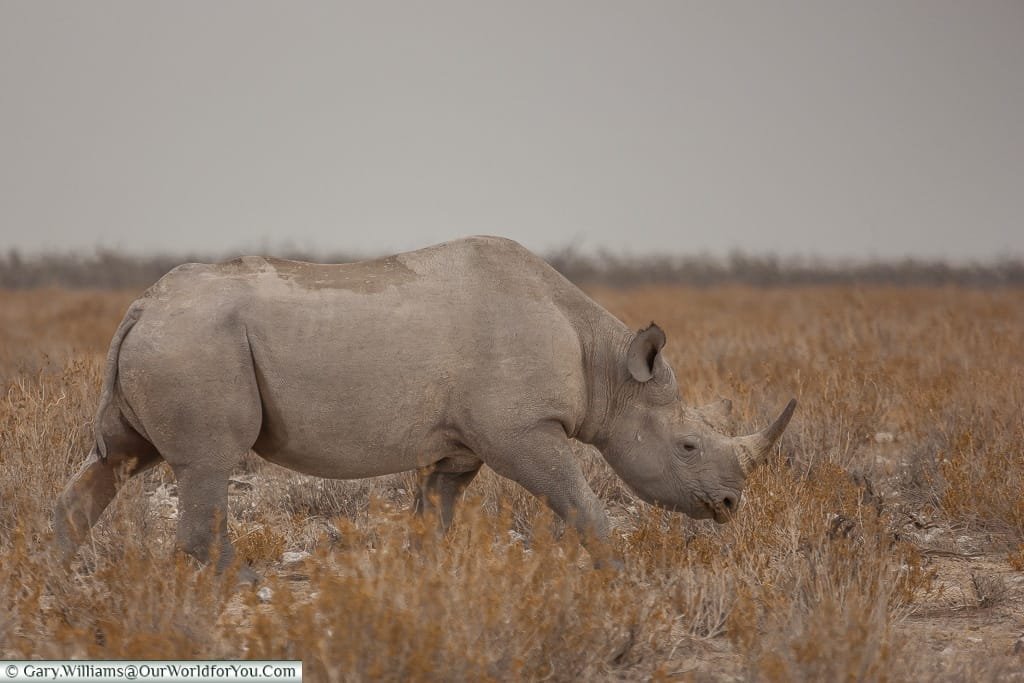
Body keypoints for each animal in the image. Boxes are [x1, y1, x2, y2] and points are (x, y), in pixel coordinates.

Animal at [51, 236, 794, 573]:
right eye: (688, 446)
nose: (730, 505)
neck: (606, 367)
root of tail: (141, 305)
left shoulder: (460, 445)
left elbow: (435, 513)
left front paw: (423, 579)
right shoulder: (522, 431)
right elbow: (577, 497)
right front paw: (620, 571)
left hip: (173, 339)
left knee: (118, 457)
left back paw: (57, 578)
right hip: (197, 343)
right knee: (205, 463)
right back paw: (233, 579)